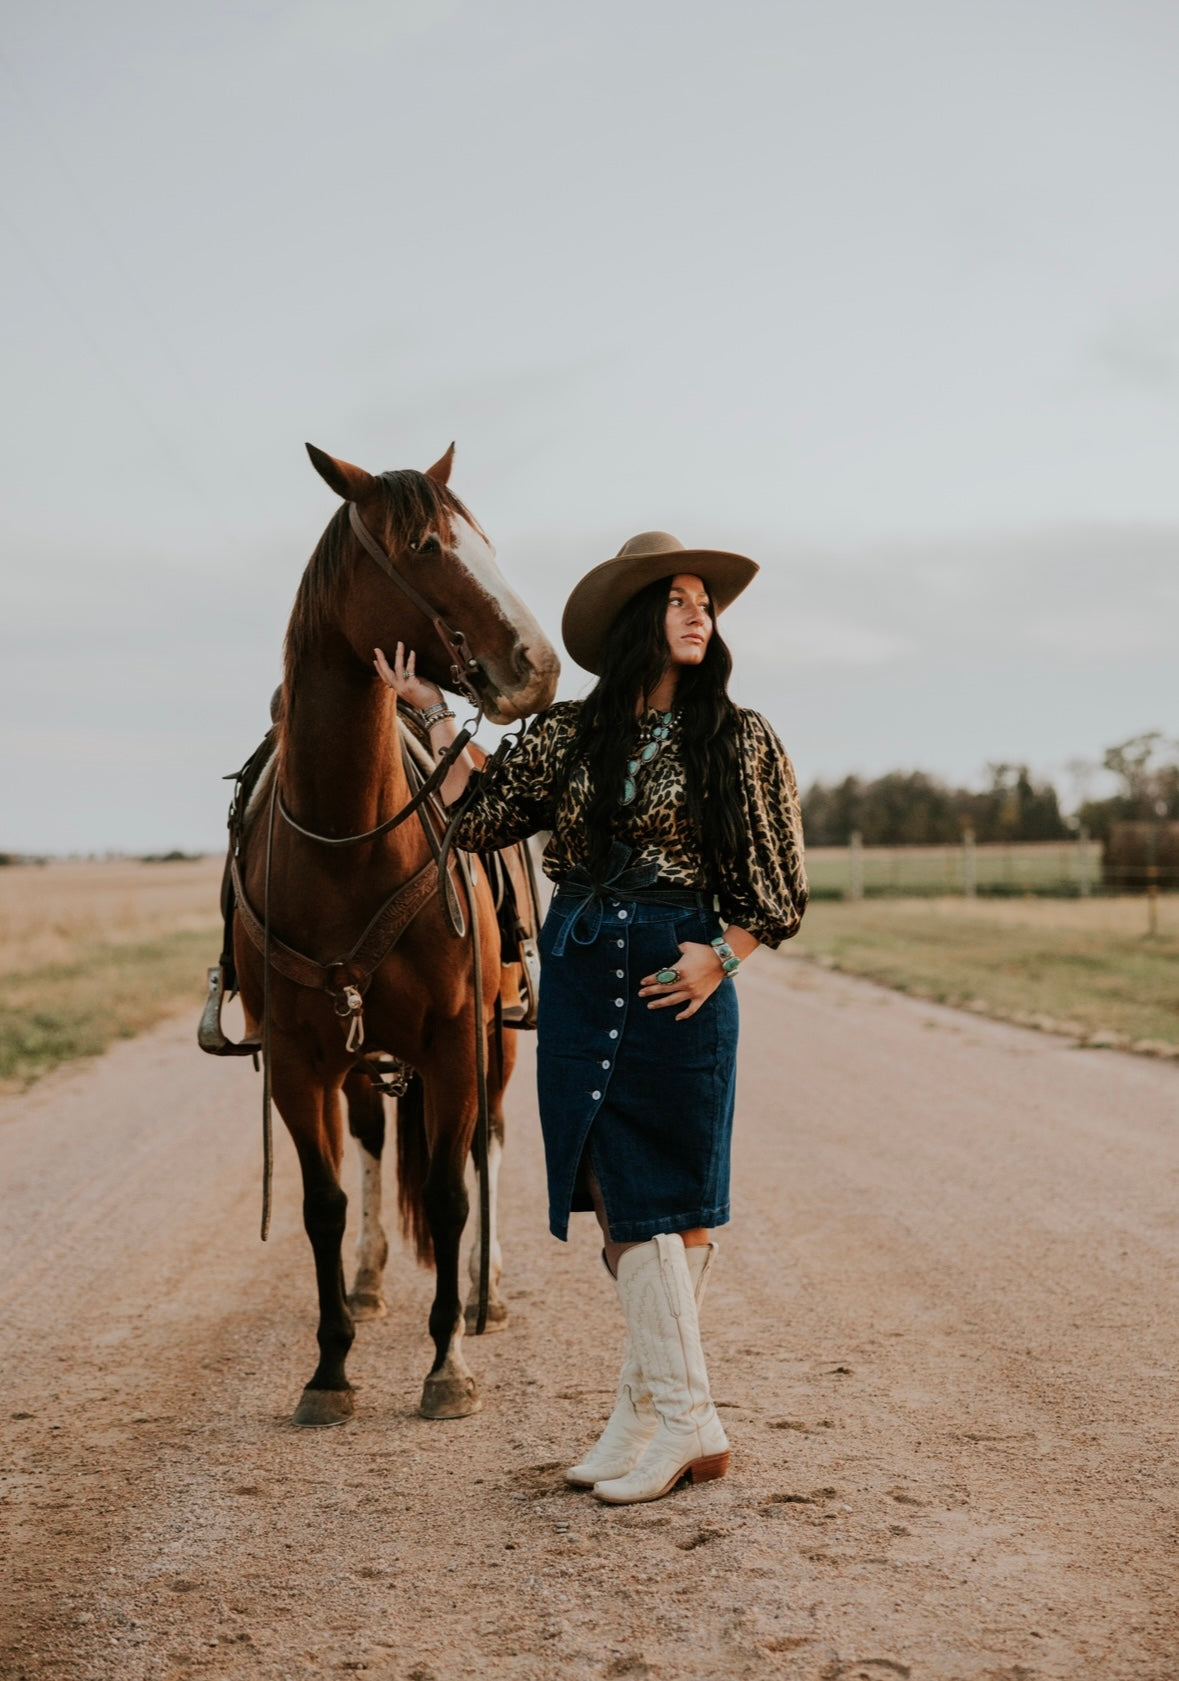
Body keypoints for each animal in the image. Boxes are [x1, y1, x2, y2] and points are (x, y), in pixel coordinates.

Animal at [230, 443, 561, 1432]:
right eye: (423, 546)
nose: (538, 665)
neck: (348, 838)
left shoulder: (456, 1039)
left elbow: (451, 1195)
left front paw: (448, 1360)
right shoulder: (299, 1059)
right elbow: (324, 1202)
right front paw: (330, 1365)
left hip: (493, 1040)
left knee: (487, 1142)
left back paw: (487, 1290)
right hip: (361, 1056)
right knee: (376, 1147)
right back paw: (370, 1280)